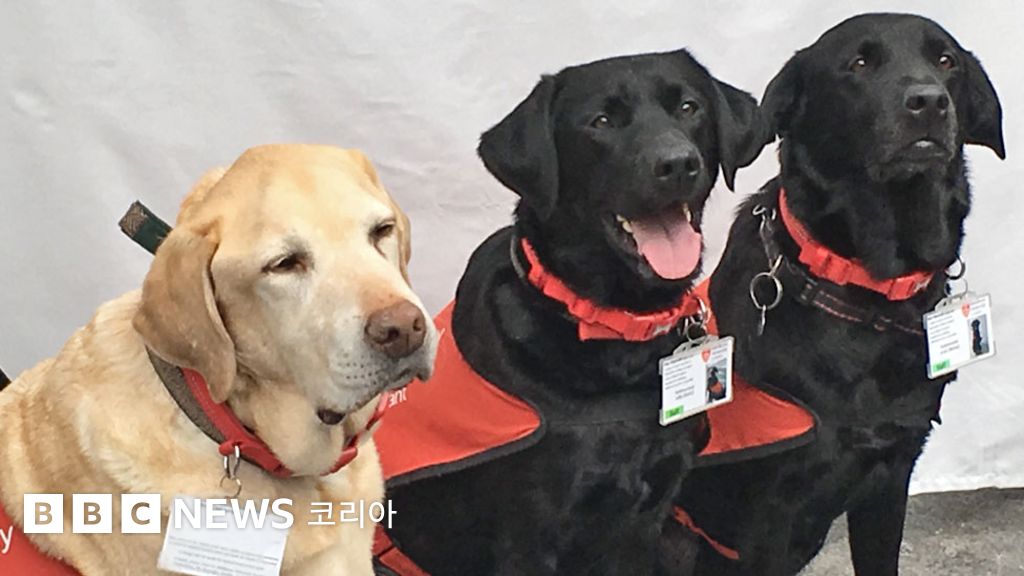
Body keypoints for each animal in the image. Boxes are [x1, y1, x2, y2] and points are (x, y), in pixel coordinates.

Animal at [381, 49, 769, 575]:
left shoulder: (648, 519)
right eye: (600, 122)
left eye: (689, 107)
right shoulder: (531, 535)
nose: (678, 163)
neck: (613, 326)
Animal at [667, 13, 1005, 576]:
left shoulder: (890, 474)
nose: (929, 101)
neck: (867, 290)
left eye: (945, 60)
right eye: (860, 63)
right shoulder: (770, 513)